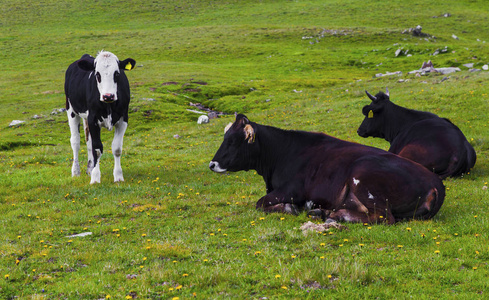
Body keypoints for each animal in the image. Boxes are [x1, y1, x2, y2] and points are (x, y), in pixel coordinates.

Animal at [63, 50, 135, 184]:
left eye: (117, 73)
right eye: (97, 74)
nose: (108, 96)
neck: (109, 105)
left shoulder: (123, 119)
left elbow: (117, 148)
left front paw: (118, 176)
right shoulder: (93, 119)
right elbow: (97, 149)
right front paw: (95, 178)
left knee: (88, 141)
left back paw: (89, 169)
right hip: (71, 110)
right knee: (75, 142)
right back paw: (76, 172)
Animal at [208, 113, 444, 224]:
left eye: (233, 141)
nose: (212, 164)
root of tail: (435, 183)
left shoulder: (292, 190)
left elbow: (260, 203)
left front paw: (289, 208)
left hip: (364, 176)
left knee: (384, 218)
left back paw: (336, 215)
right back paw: (323, 211)